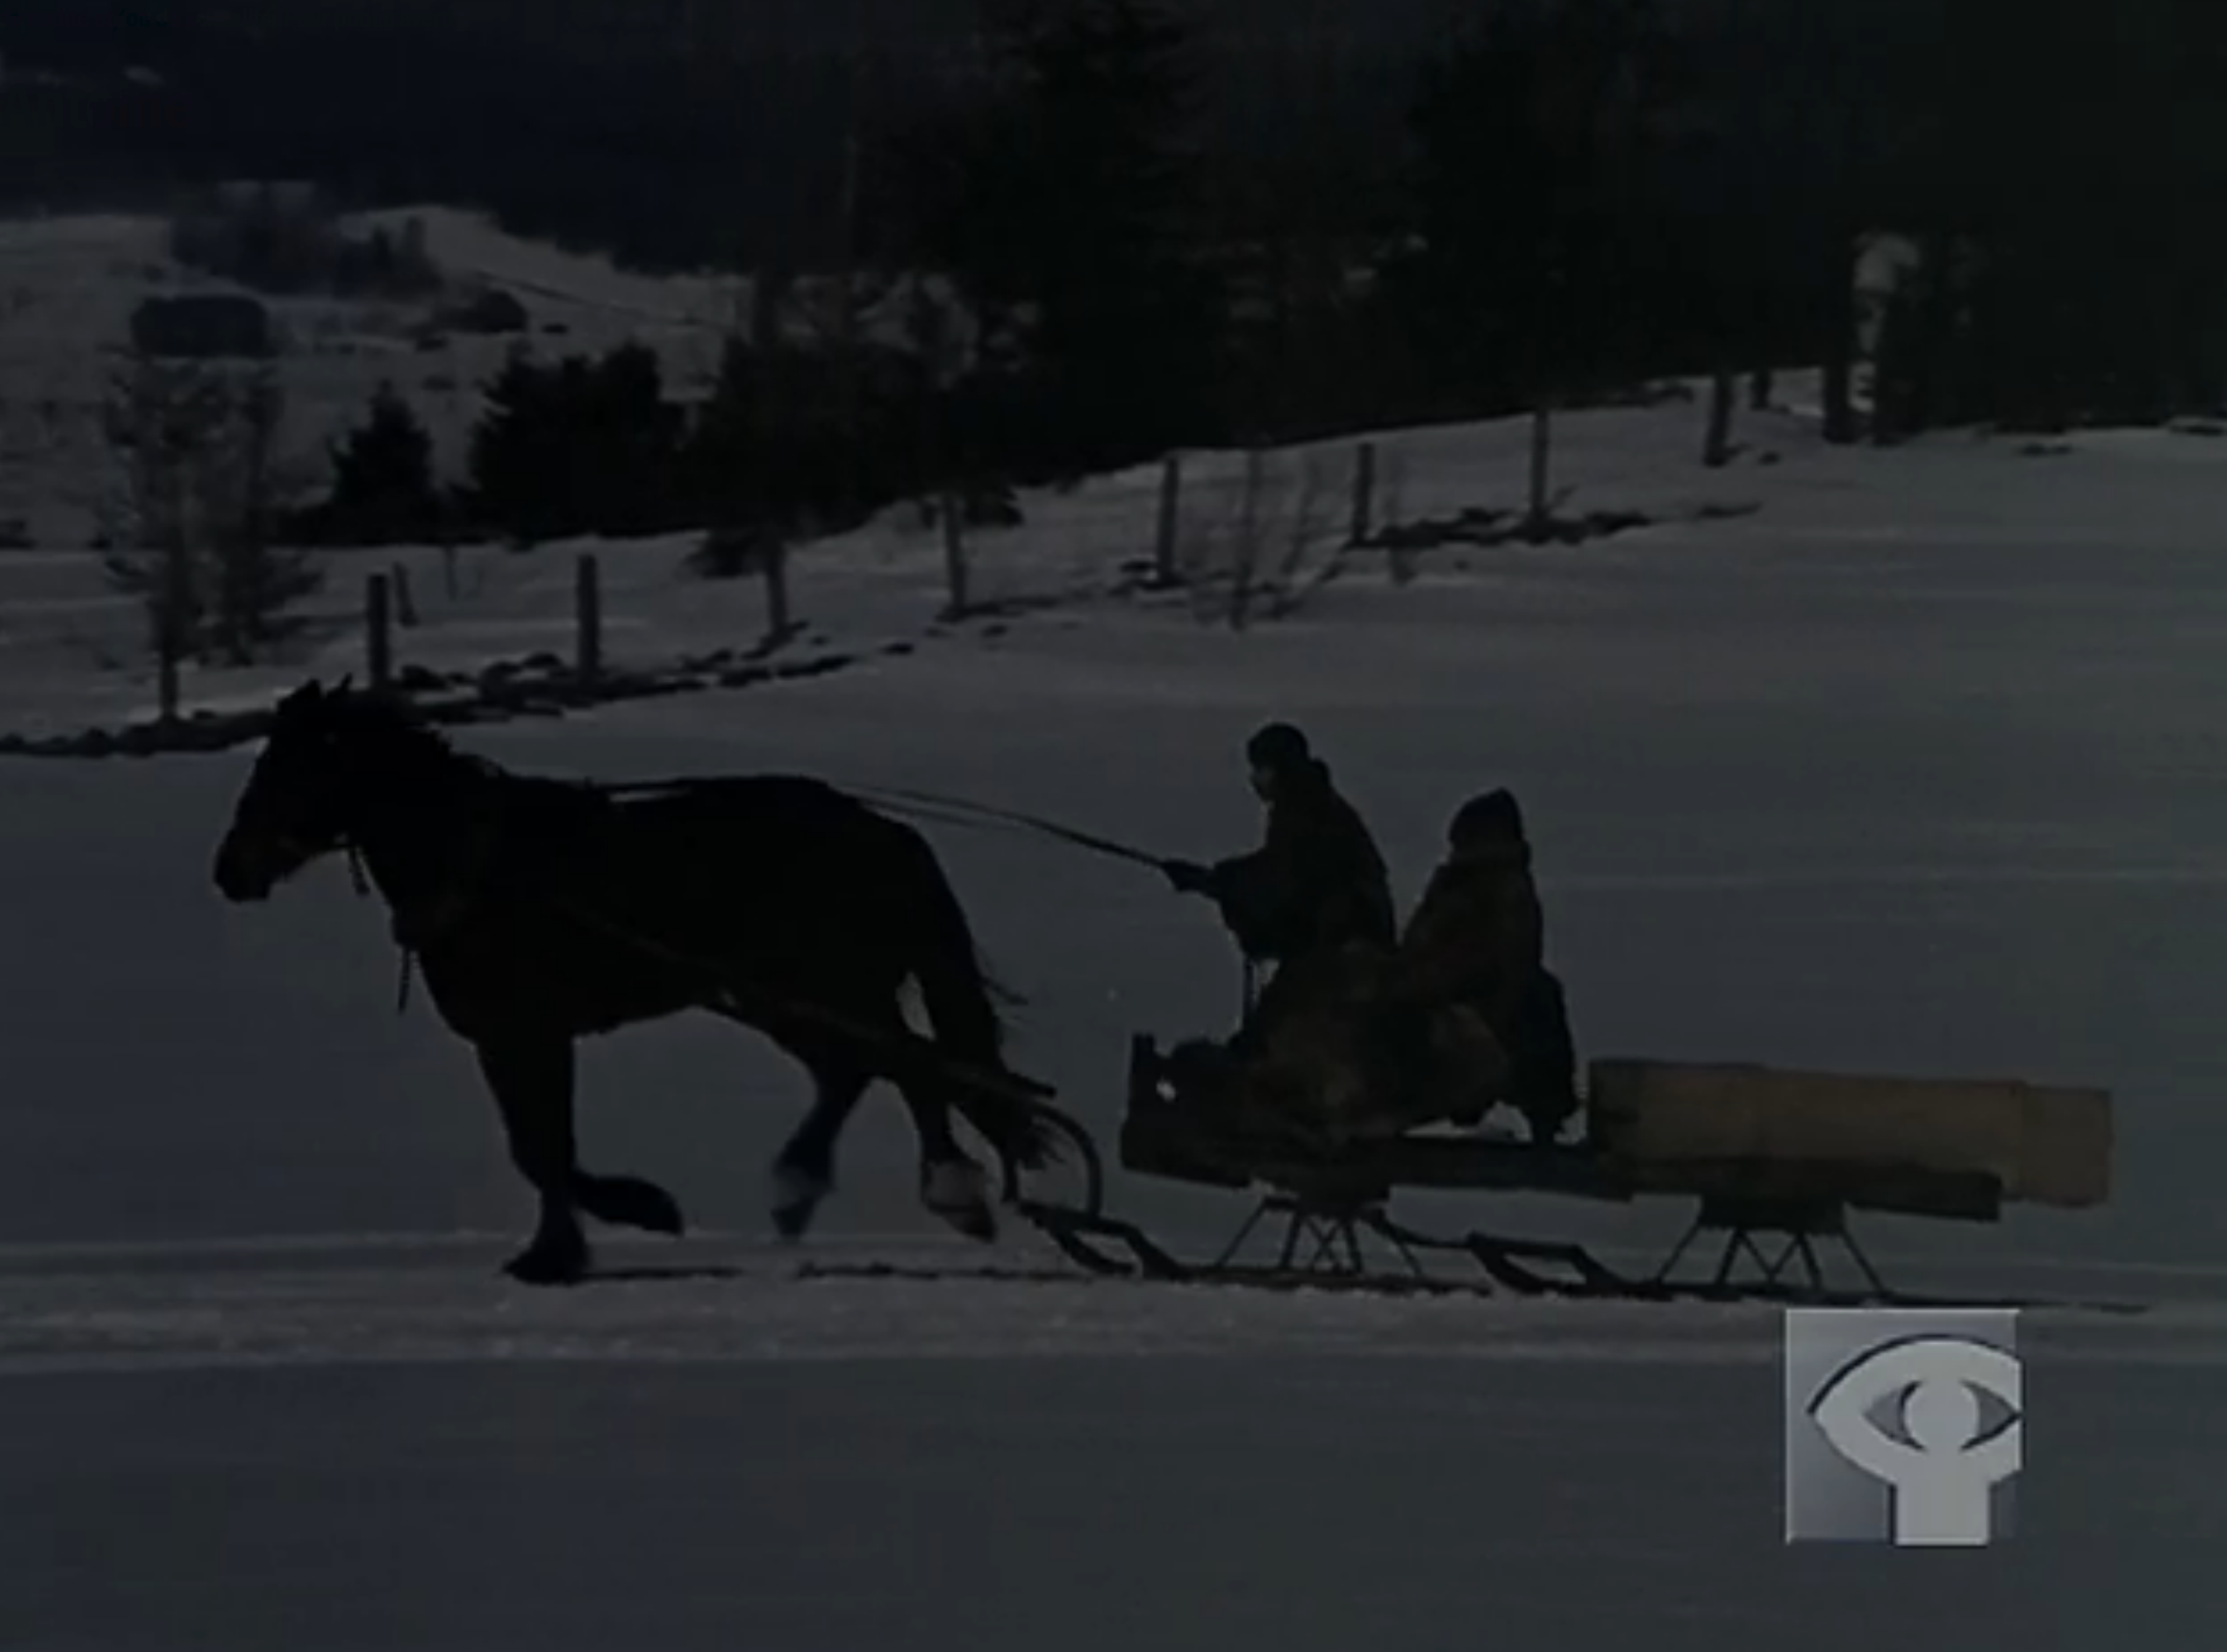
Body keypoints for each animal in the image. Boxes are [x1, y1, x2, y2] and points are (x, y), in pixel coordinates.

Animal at [212, 681, 1055, 1291]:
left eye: (291, 766)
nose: (230, 870)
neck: (482, 864)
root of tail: (883, 834)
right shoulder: (512, 1039)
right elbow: (540, 1149)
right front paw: (573, 1241)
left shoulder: (525, 1033)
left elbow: (542, 1151)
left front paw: (602, 1231)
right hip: (779, 998)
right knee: (863, 1068)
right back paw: (805, 1187)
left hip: (820, 986)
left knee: (903, 1063)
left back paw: (942, 1190)